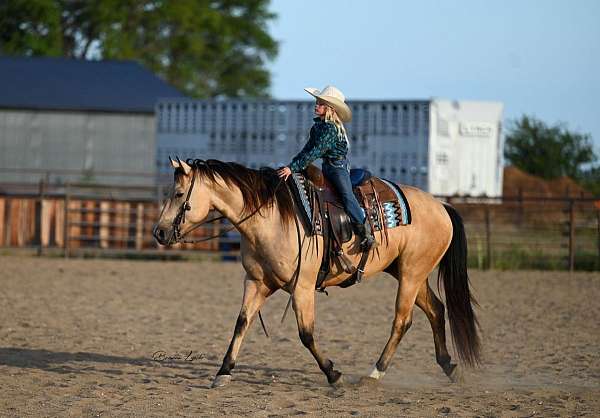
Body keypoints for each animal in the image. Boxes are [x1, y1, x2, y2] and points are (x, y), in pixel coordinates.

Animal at [152, 158, 480, 386]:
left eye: (179, 194)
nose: (159, 232)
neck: (272, 217)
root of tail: (441, 205)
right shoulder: (256, 282)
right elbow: (241, 323)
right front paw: (223, 372)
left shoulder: (302, 287)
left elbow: (306, 334)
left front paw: (333, 374)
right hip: (407, 271)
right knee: (436, 310)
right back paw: (448, 366)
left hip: (412, 273)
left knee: (403, 321)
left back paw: (374, 374)